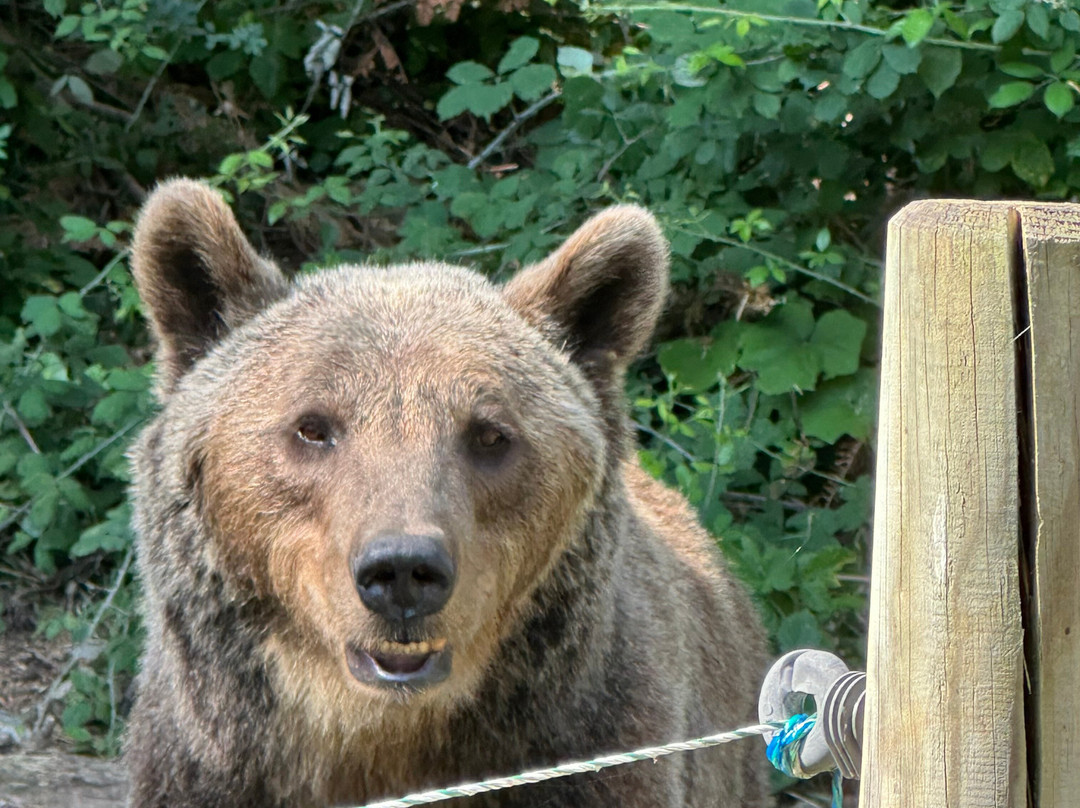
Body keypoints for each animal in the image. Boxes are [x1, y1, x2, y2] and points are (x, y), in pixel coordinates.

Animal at [124, 178, 770, 808]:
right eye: (312, 426)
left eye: (489, 434)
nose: (402, 571)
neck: (385, 738)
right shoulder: (202, 771)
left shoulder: (599, 753)